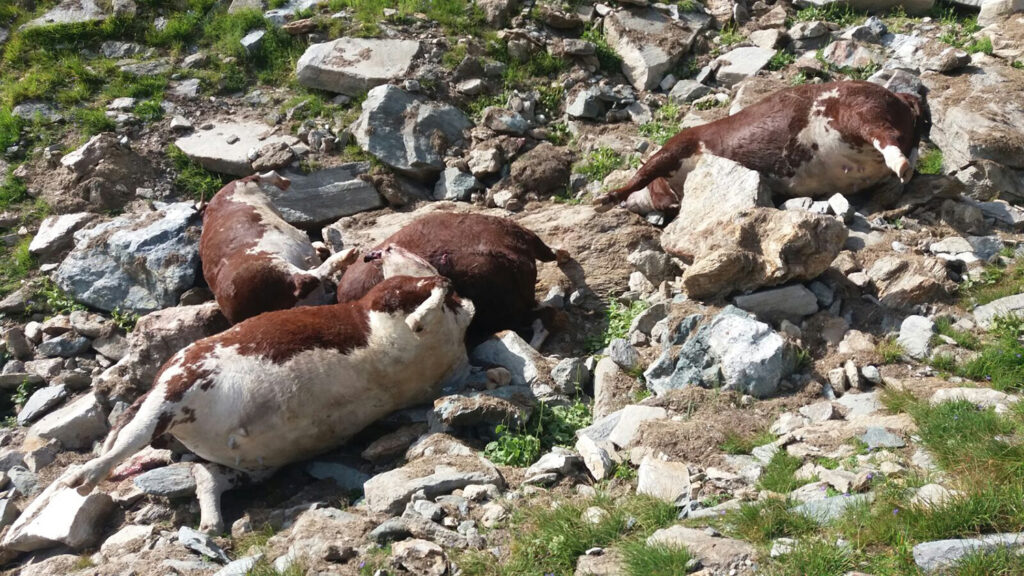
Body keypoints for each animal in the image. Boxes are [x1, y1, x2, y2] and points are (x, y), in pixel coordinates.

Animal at [61, 249, 477, 532]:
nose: (381, 250)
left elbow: (442, 290)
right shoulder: (390, 299)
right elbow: (437, 290)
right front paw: (419, 316)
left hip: (236, 449)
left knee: (203, 473)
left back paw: (209, 523)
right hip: (181, 386)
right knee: (134, 438)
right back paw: (83, 478)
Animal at [199, 170, 356, 323]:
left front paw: (320, 248)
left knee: (257, 176)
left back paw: (284, 182)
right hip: (272, 267)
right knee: (307, 279)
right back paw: (348, 254)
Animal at [598, 78, 933, 215]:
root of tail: (903, 97)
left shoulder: (679, 145)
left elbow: (641, 174)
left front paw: (605, 199)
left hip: (859, 111)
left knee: (885, 136)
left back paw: (900, 167)